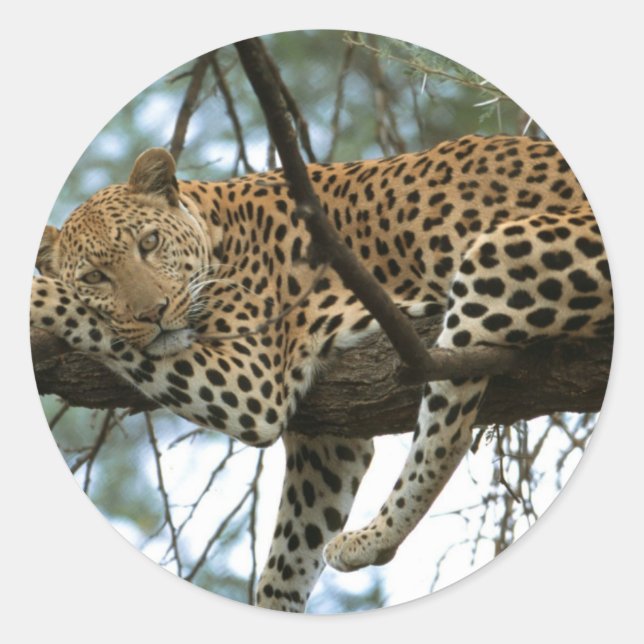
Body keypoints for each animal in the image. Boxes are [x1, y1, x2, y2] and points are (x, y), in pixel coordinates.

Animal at [31, 134, 613, 612]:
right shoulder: (329, 439)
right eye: (95, 275)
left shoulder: (252, 381)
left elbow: (78, 313)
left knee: (446, 433)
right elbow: (288, 557)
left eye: (149, 243)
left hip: (500, 253)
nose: (152, 313)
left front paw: (38, 296)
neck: (216, 228)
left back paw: (372, 538)